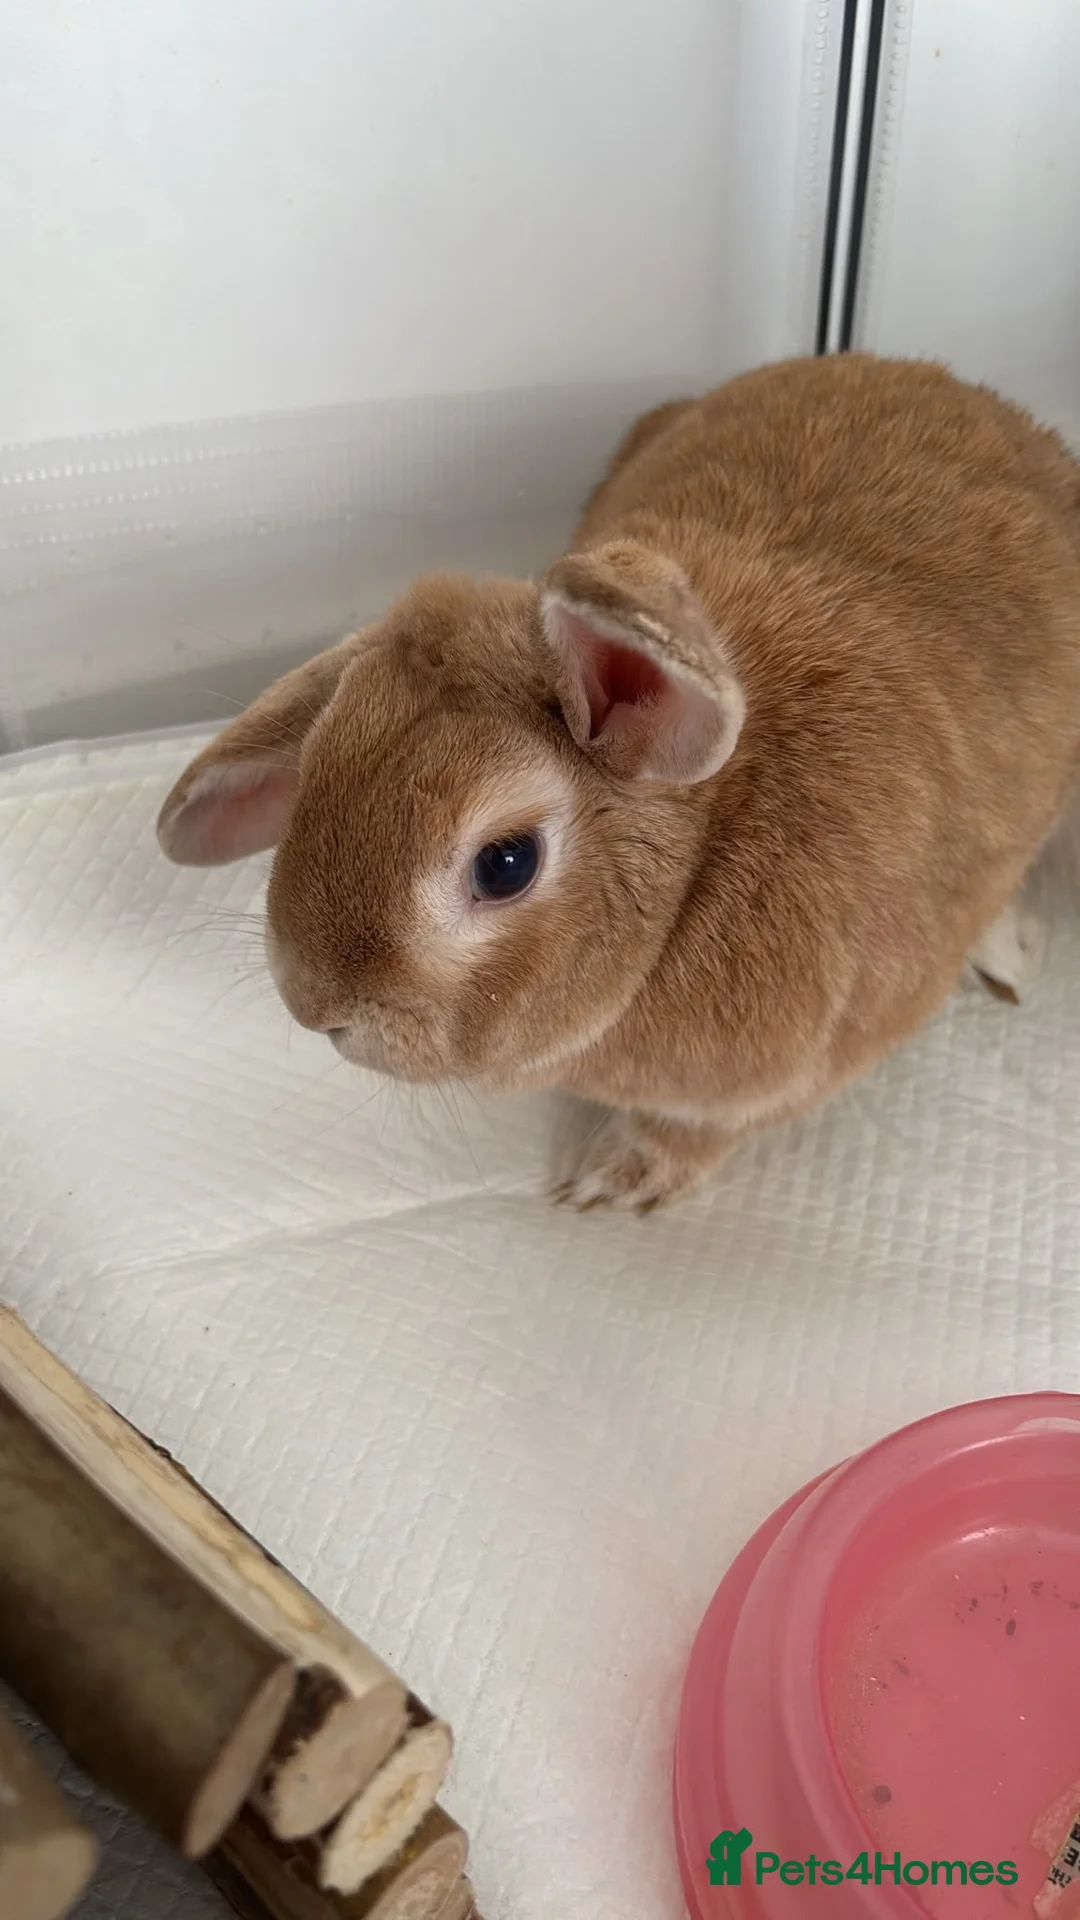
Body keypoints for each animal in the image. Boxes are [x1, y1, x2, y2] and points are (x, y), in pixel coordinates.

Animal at [157, 353, 1080, 1212]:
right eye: (315, 770)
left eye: (506, 864)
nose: (314, 1007)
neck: (701, 851)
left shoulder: (797, 1067)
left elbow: (698, 1133)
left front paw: (606, 1184)